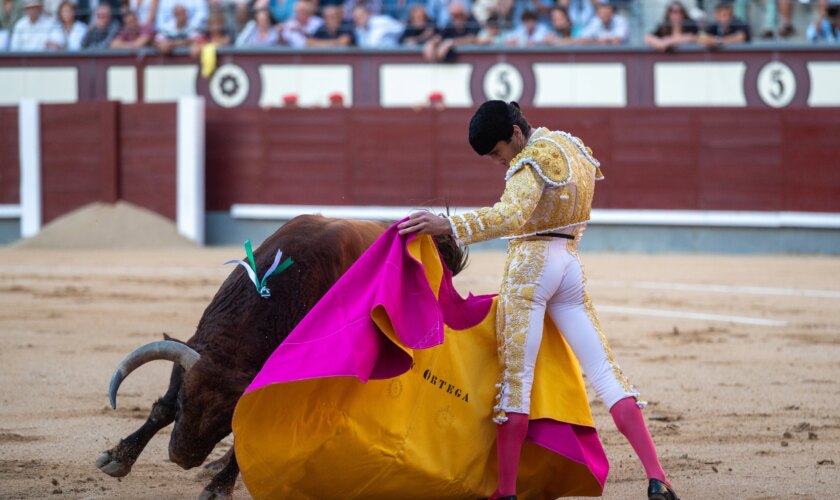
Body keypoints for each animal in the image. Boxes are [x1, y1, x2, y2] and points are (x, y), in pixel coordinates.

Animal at [97, 215, 470, 500]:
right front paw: (118, 457)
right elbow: (161, 407)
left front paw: (219, 488)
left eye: (225, 420)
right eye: (184, 403)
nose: (182, 457)